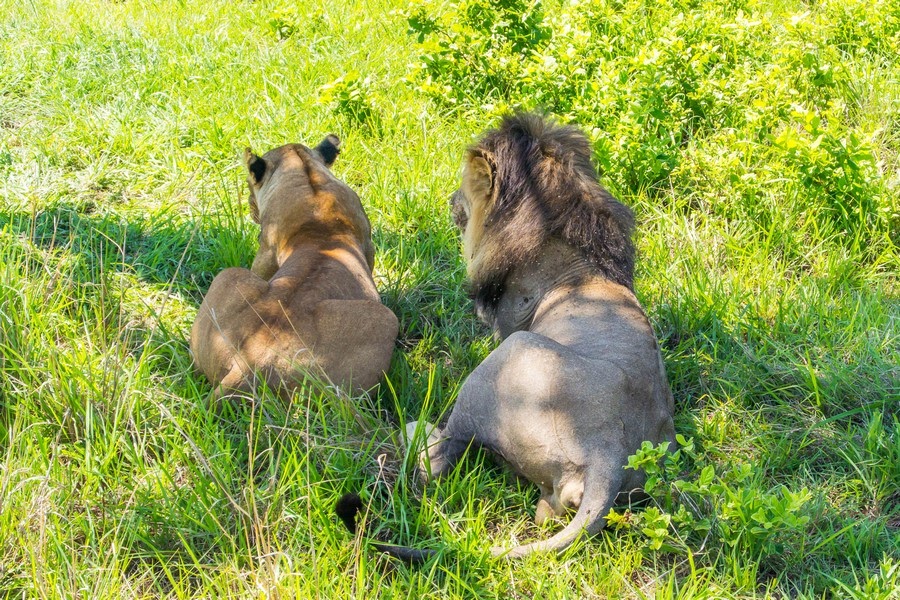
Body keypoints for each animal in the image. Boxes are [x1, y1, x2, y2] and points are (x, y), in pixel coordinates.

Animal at [190, 136, 398, 398]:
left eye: (249, 184)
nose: (249, 207)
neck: (307, 177)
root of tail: (249, 364)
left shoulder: (267, 249)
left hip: (228, 276)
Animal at [408, 116, 676, 556]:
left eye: (463, 189)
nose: (449, 201)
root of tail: (608, 453)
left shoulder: (505, 326)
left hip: (510, 356)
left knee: (441, 458)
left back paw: (413, 430)